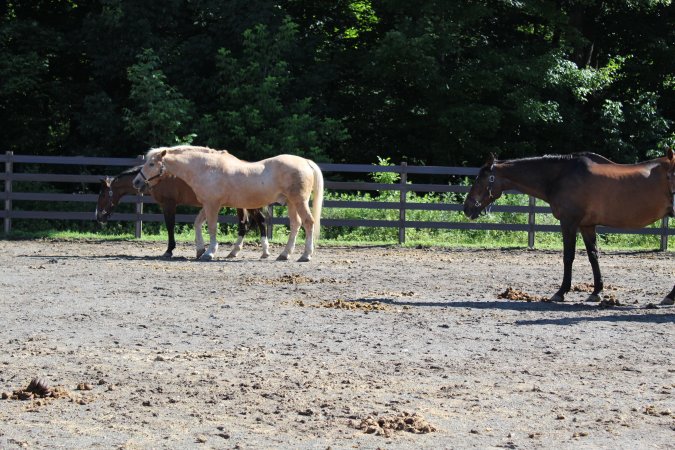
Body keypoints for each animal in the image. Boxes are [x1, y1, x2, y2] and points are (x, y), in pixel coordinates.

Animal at [96, 165, 270, 258]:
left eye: (103, 195)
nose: (98, 217)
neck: (157, 177)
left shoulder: (169, 204)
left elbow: (170, 226)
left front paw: (169, 250)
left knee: (260, 220)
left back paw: (264, 251)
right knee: (244, 224)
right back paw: (234, 251)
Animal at [133, 146, 324, 262]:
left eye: (151, 163)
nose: (136, 182)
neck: (206, 168)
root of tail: (306, 162)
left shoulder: (212, 205)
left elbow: (211, 227)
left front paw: (210, 252)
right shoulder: (207, 204)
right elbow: (197, 223)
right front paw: (200, 249)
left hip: (299, 201)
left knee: (308, 223)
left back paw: (306, 255)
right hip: (291, 203)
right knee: (295, 224)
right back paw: (284, 254)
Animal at [464, 149, 675, 304]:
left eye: (480, 179)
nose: (467, 208)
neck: (561, 175)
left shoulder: (568, 222)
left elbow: (568, 257)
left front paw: (561, 292)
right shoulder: (587, 226)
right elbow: (593, 256)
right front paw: (596, 292)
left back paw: (669, 297)